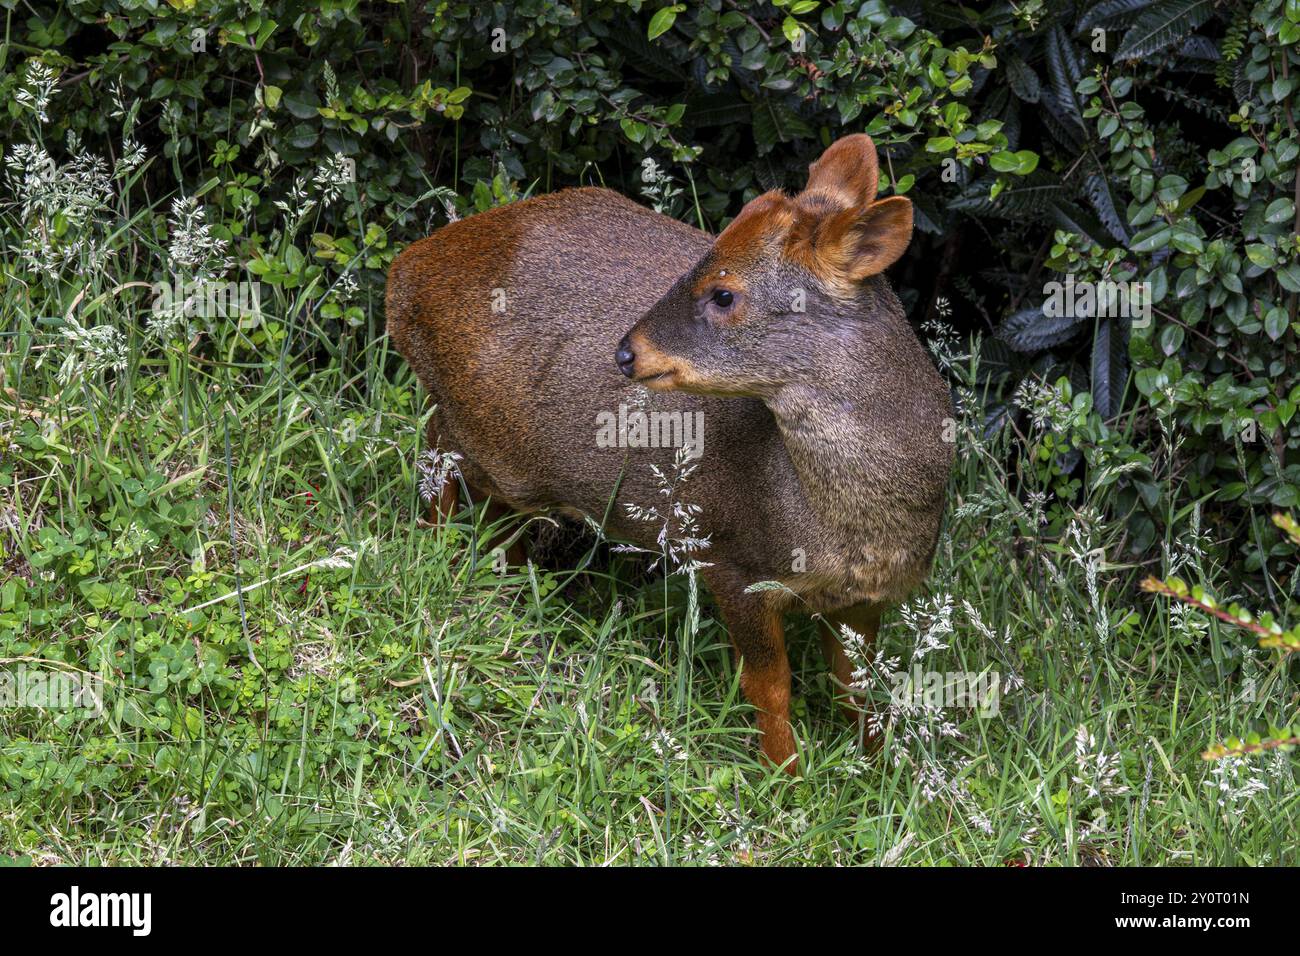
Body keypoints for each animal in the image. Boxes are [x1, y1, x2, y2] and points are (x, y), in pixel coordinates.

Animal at [384, 134, 956, 775]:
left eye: (724, 293)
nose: (626, 352)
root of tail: (402, 276)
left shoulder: (866, 598)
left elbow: (860, 687)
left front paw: (879, 770)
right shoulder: (730, 560)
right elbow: (769, 685)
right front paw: (785, 776)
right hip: (481, 439)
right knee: (441, 469)